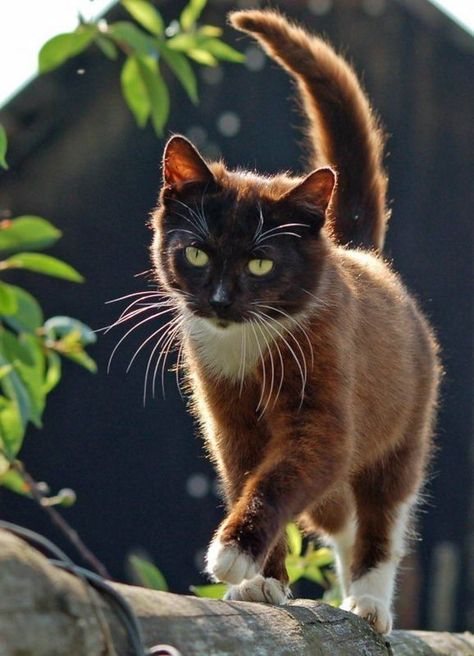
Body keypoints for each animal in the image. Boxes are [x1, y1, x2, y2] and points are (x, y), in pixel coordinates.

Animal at [149, 9, 440, 636]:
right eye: (198, 253)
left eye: (261, 262)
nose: (221, 300)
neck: (249, 343)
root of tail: (358, 253)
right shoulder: (227, 418)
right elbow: (247, 474)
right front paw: (263, 581)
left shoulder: (326, 400)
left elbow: (286, 473)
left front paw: (233, 551)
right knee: (340, 518)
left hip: (405, 422)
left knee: (382, 513)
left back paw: (369, 602)